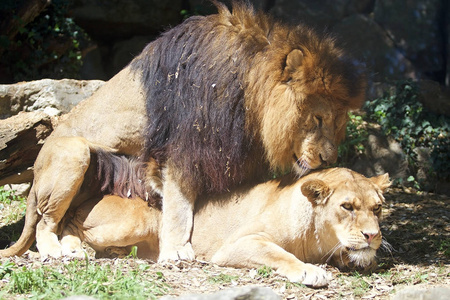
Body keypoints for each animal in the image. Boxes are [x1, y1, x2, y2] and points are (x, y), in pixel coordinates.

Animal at [0, 1, 366, 260]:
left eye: (338, 122)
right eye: (317, 118)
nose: (327, 159)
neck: (248, 97)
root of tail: (35, 170)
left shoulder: (240, 154)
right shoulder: (185, 147)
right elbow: (179, 205)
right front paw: (176, 250)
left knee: (68, 219)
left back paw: (74, 247)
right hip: (74, 153)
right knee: (44, 222)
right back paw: (56, 251)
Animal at [57, 168, 390, 288]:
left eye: (377, 208)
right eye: (347, 207)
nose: (372, 235)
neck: (319, 239)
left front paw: (361, 258)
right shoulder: (238, 244)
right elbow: (281, 255)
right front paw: (310, 270)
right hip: (137, 222)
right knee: (73, 221)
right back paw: (75, 248)